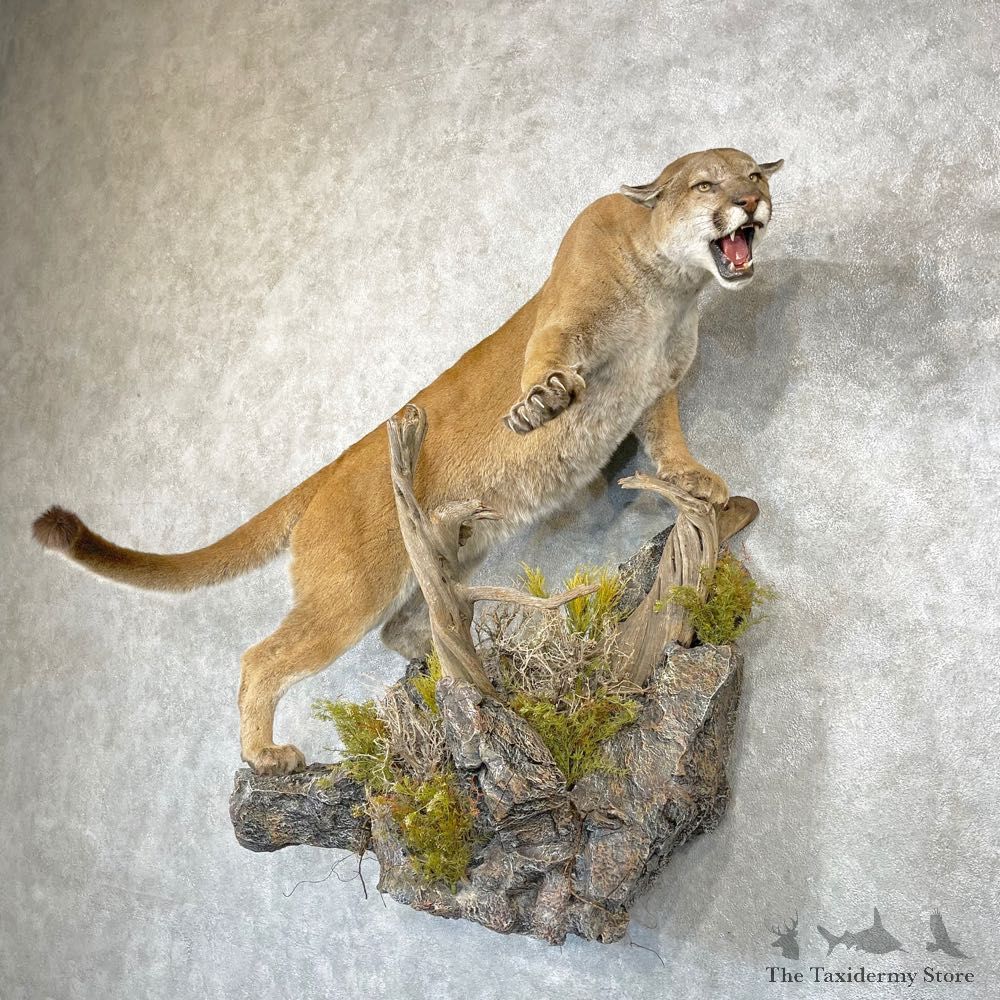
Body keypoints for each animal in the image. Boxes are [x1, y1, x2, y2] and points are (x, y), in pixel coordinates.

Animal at [32, 147, 783, 774]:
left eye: (755, 174)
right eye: (707, 183)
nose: (750, 201)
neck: (672, 286)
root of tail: (333, 469)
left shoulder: (655, 387)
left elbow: (668, 439)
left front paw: (695, 479)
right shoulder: (566, 313)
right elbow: (547, 363)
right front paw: (540, 405)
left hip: (442, 557)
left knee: (406, 623)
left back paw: (447, 657)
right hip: (348, 595)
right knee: (261, 658)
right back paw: (265, 755)